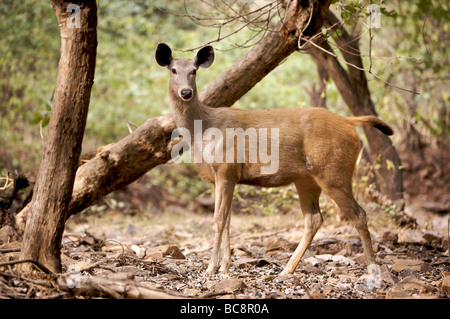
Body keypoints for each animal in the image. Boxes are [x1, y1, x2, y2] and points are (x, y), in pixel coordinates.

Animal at [156, 43, 394, 278]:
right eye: (173, 70)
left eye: (194, 70)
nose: (186, 92)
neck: (203, 131)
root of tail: (348, 121)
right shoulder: (222, 177)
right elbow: (228, 221)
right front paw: (224, 267)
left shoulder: (226, 169)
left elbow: (218, 221)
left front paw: (211, 268)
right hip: (307, 179)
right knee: (314, 219)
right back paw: (287, 269)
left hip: (334, 171)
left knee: (359, 214)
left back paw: (372, 269)